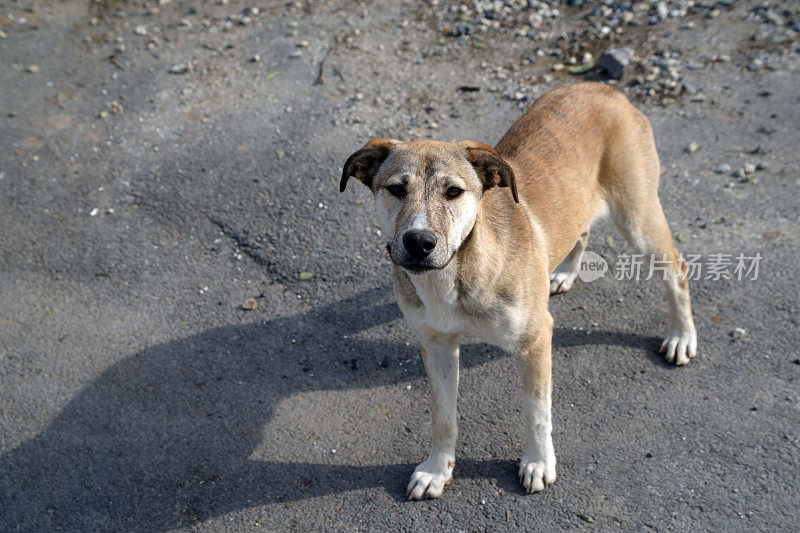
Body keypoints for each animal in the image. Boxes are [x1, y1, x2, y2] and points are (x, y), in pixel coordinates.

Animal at [340, 82, 696, 498]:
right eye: (396, 189)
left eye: (454, 192)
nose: (419, 242)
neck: (455, 276)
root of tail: (603, 87)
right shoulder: (436, 344)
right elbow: (442, 416)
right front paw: (437, 469)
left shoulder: (536, 340)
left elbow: (536, 411)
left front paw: (539, 462)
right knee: (582, 228)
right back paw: (563, 273)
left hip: (637, 215)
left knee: (677, 269)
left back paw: (681, 336)